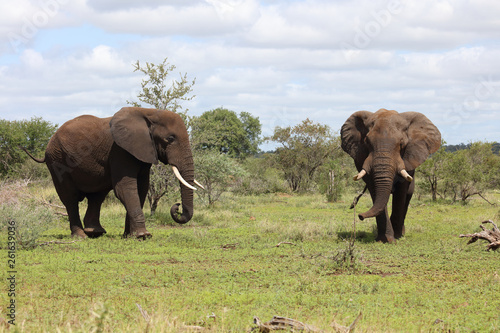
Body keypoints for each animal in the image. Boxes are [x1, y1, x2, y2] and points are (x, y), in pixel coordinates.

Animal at [23, 106, 203, 239]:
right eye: (170, 139)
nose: (177, 206)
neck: (148, 113)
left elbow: (141, 189)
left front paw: (129, 236)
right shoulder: (120, 150)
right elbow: (125, 188)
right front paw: (143, 235)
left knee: (97, 196)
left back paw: (96, 232)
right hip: (57, 160)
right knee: (70, 197)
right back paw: (81, 236)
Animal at [340, 108, 442, 241]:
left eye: (402, 144)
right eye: (366, 142)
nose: (360, 216)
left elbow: (401, 192)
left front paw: (396, 237)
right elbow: (374, 190)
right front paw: (385, 239)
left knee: (407, 198)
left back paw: (401, 233)